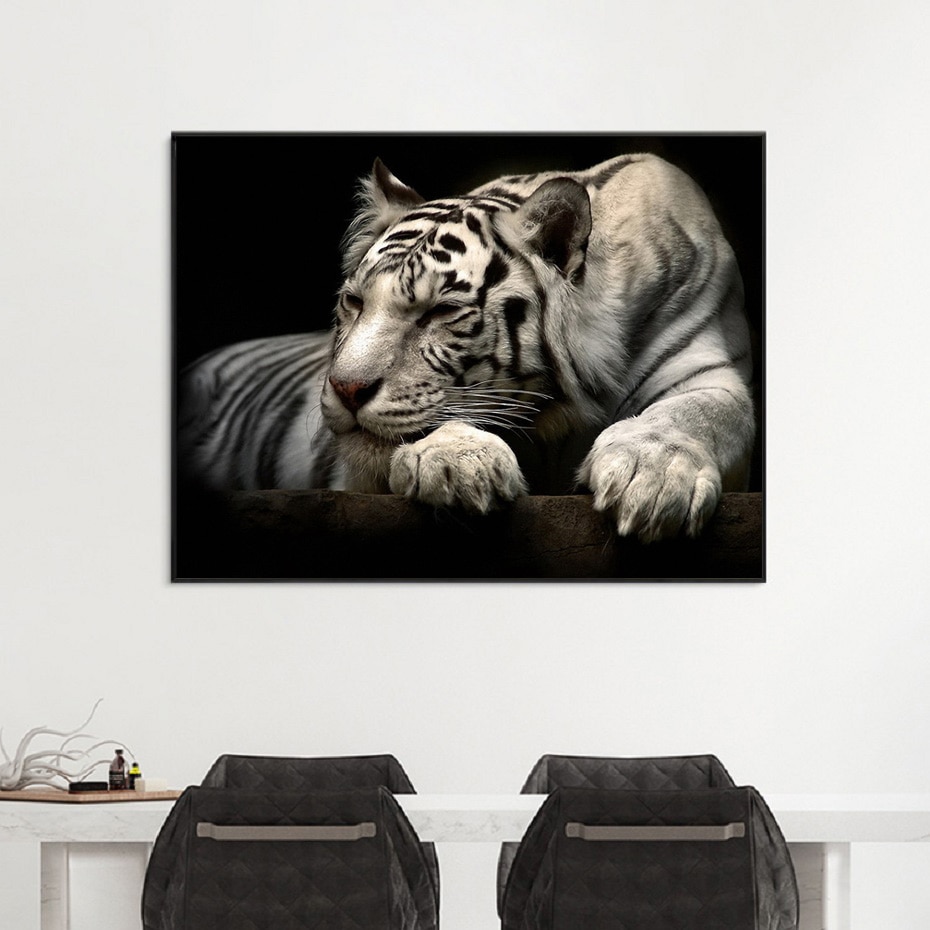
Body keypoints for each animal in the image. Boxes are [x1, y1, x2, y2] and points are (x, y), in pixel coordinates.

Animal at [179, 152, 755, 543]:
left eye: (438, 312)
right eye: (354, 302)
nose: (345, 389)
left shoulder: (708, 368)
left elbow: (697, 413)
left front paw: (652, 478)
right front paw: (457, 463)